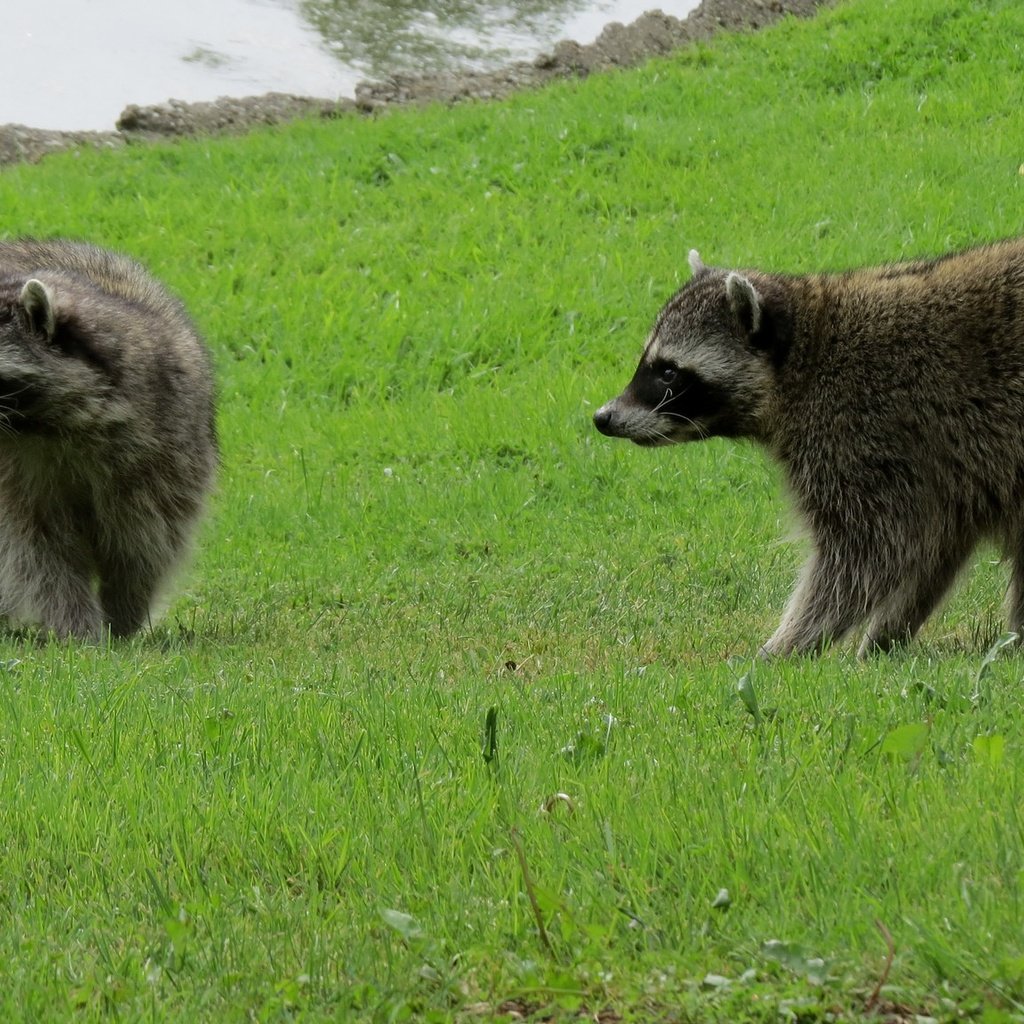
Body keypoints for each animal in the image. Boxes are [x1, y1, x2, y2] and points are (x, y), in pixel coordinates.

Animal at [0, 240, 216, 638]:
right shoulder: (14, 477)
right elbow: (37, 552)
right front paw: (77, 624)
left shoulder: (163, 444)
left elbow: (146, 541)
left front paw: (124, 611)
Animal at [598, 239, 1024, 655]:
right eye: (649, 363)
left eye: (669, 372)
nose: (602, 417)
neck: (806, 355)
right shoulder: (943, 471)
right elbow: (936, 549)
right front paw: (885, 637)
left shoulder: (861, 434)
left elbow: (869, 554)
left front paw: (785, 648)